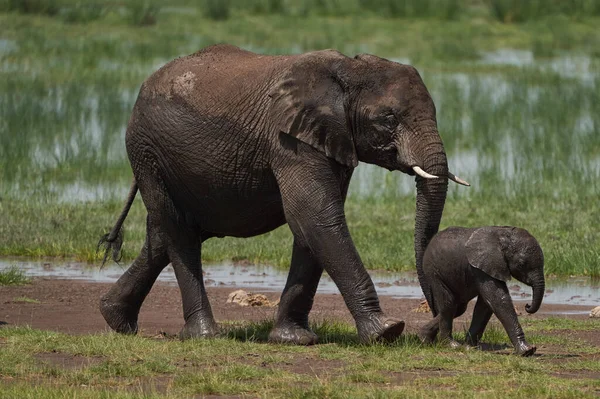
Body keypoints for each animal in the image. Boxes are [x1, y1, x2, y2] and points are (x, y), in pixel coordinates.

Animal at [99, 43, 468, 344]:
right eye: (388, 118)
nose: (432, 328)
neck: (347, 71)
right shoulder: (289, 140)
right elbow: (315, 214)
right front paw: (387, 331)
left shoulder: (328, 139)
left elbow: (312, 224)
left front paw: (294, 339)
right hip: (146, 148)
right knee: (178, 231)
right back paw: (204, 335)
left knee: (167, 231)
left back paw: (114, 319)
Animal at [422, 227, 544, 358]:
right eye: (521, 264)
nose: (527, 306)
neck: (502, 236)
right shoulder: (483, 267)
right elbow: (498, 300)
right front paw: (527, 351)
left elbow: (485, 305)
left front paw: (469, 348)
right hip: (433, 272)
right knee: (448, 305)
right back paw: (451, 345)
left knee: (458, 308)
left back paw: (424, 339)